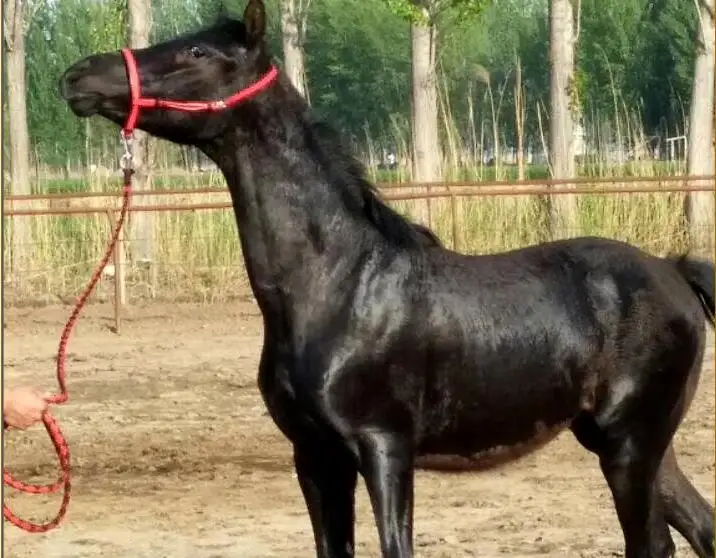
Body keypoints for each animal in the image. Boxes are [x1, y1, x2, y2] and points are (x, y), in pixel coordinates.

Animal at [58, 2, 714, 556]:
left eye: (197, 52)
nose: (79, 76)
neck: (338, 285)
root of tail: (675, 272)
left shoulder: (383, 448)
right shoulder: (316, 457)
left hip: (629, 444)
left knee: (654, 543)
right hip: (636, 444)